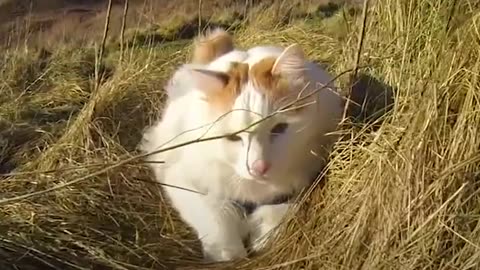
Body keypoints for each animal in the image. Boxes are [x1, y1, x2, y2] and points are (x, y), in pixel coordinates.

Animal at [139, 28, 344, 262]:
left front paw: (261, 237)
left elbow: (278, 211)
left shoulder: (308, 180)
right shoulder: (179, 178)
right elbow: (215, 214)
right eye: (234, 138)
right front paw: (227, 252)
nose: (259, 167)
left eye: (279, 129)